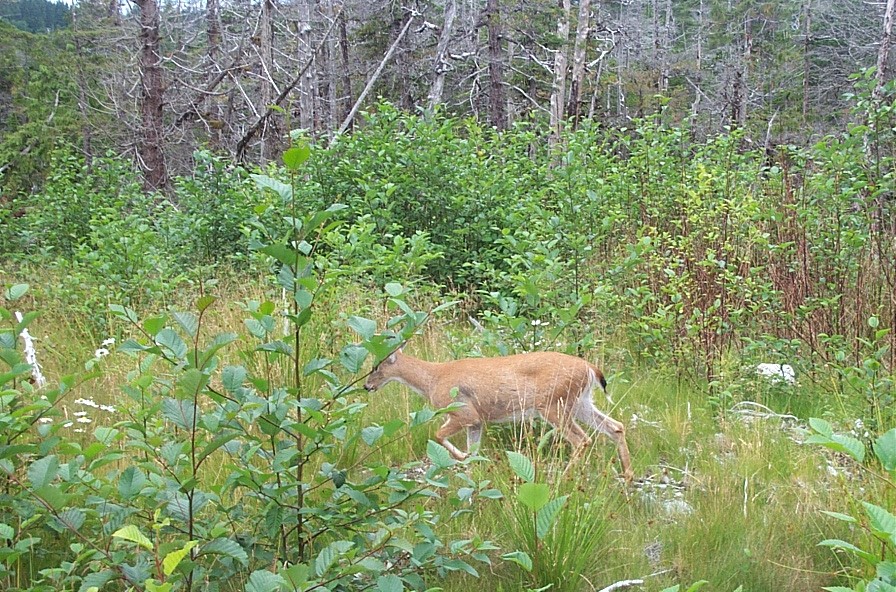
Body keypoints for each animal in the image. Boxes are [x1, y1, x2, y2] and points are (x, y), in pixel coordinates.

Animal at [364, 349, 633, 482]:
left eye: (376, 367)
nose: (366, 386)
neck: (433, 380)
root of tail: (591, 368)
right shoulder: (477, 422)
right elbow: (473, 450)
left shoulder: (464, 412)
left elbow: (439, 435)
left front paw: (460, 457)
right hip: (579, 402)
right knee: (615, 426)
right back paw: (628, 473)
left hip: (552, 404)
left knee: (582, 439)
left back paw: (564, 475)